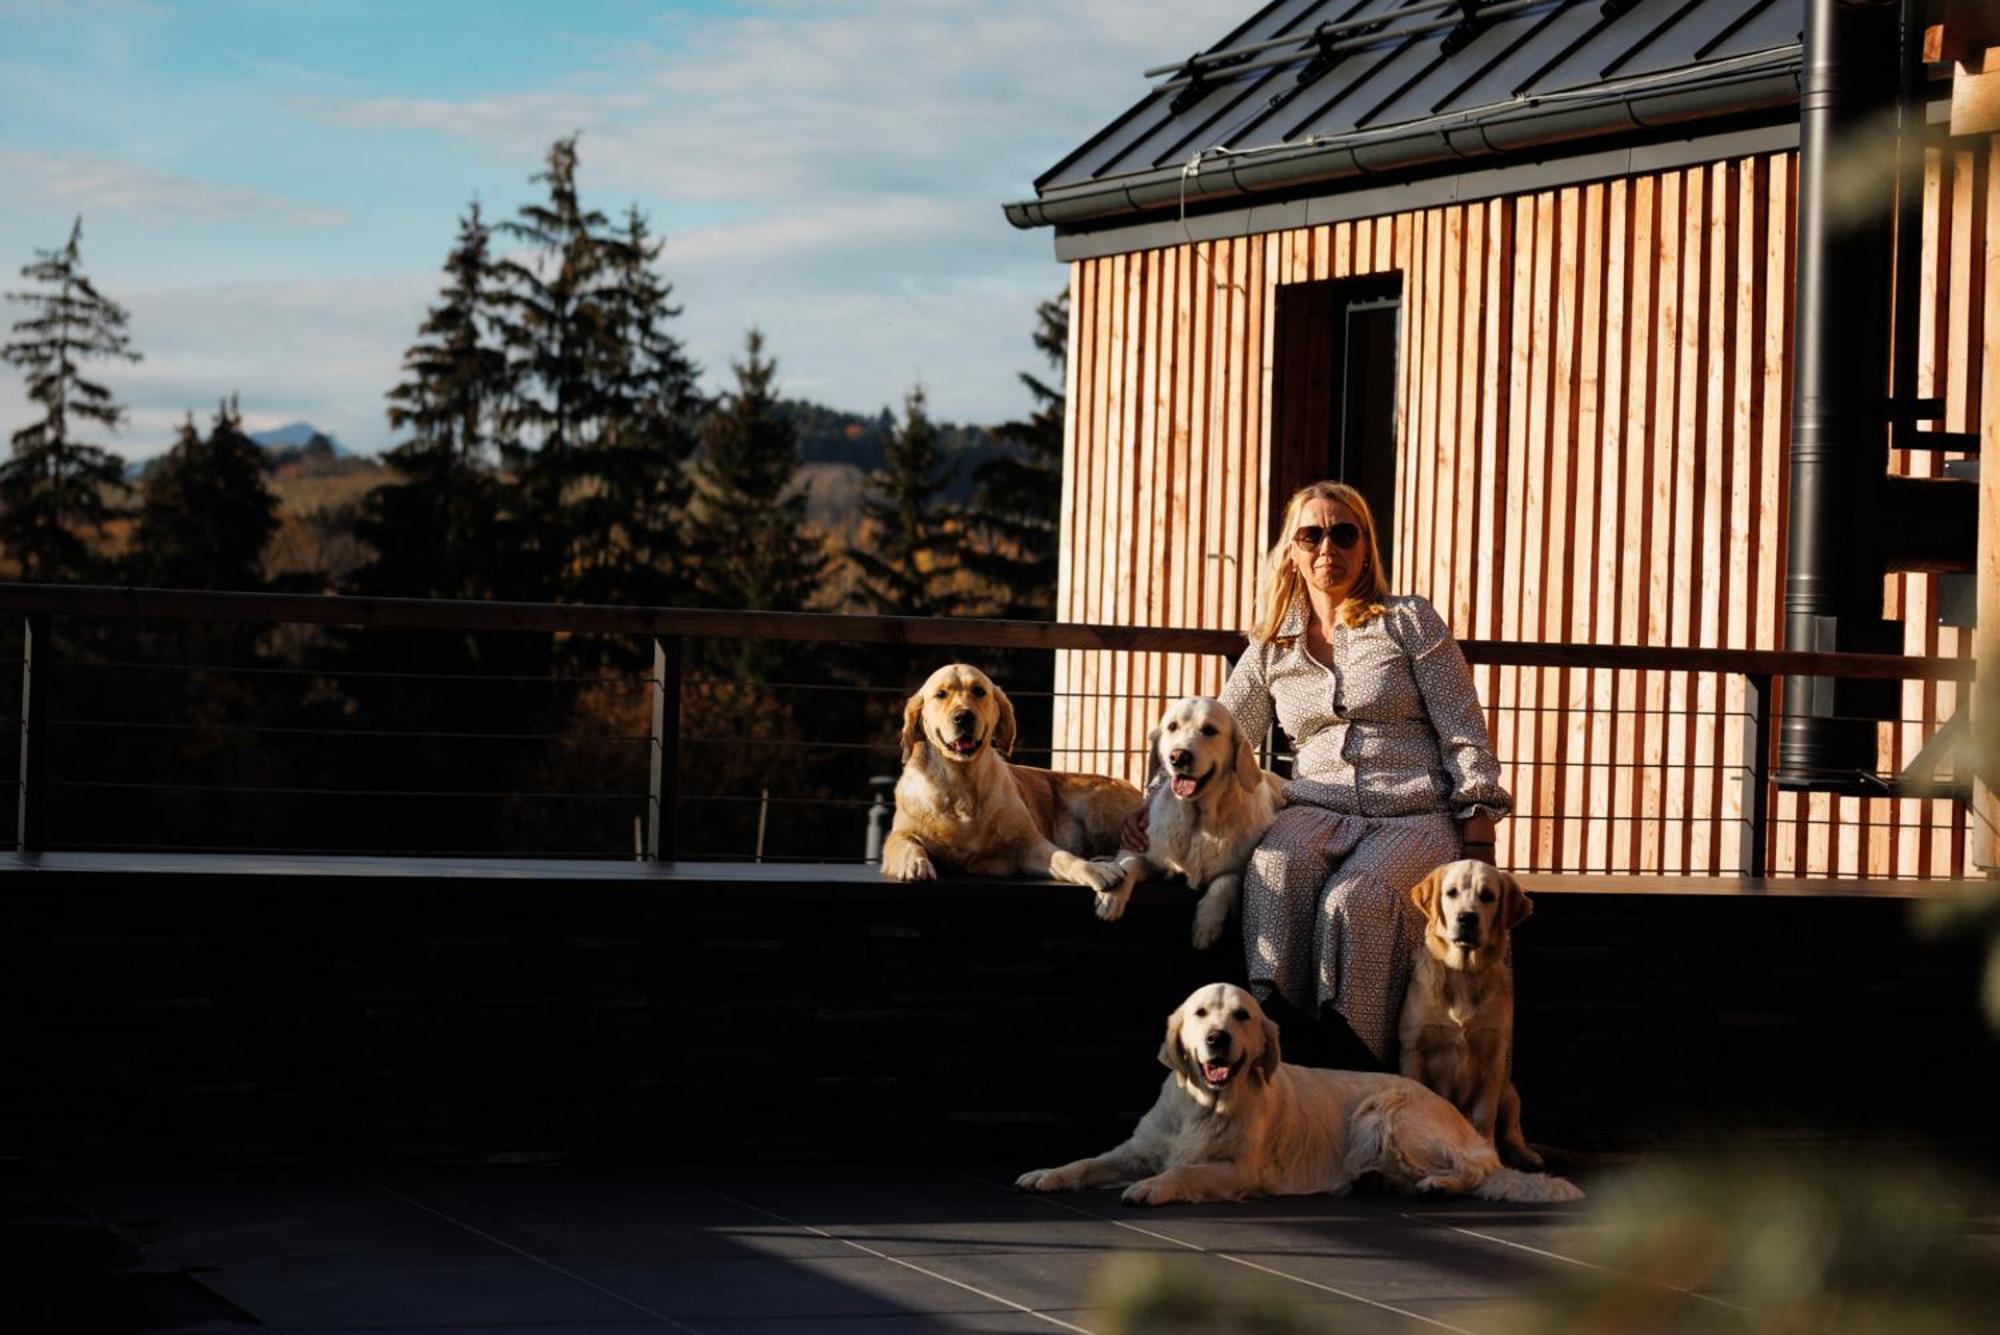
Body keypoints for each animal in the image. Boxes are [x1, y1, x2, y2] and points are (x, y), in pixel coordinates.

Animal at [880, 663, 1144, 891]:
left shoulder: (1029, 843)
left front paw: (1094, 870)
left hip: (1096, 809)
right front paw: (916, 863)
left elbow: (1064, 857)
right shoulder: (898, 835)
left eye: (979, 691)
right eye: (941, 694)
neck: (962, 785)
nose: (963, 716)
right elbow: (906, 843)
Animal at [1016, 979, 1576, 1207]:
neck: (1206, 1106)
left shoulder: (1238, 1169)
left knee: (1475, 1169)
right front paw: (1047, 1174)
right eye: (1201, 1014)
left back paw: (1437, 1184)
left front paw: (1153, 1188)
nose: (1217, 1039)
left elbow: (1185, 1170)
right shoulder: (1139, 1148)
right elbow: (1089, 1161)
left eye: (1241, 1015)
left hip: (1386, 1114)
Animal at [1096, 699, 1280, 947]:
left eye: (1209, 730)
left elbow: (1224, 882)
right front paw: (1112, 896)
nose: (1178, 756)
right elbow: (1129, 863)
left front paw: (1206, 924)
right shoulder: (1151, 855)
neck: (1198, 820)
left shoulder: (1240, 870)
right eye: (1172, 726)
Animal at [1400, 859, 1536, 1159]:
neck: (1463, 973)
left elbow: (1484, 1116)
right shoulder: (1413, 1050)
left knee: (1512, 1130)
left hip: (1510, 1092)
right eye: (1451, 893)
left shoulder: (1493, 1059)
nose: (1467, 918)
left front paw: (1486, 1152)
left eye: (1487, 896)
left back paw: (1524, 1154)